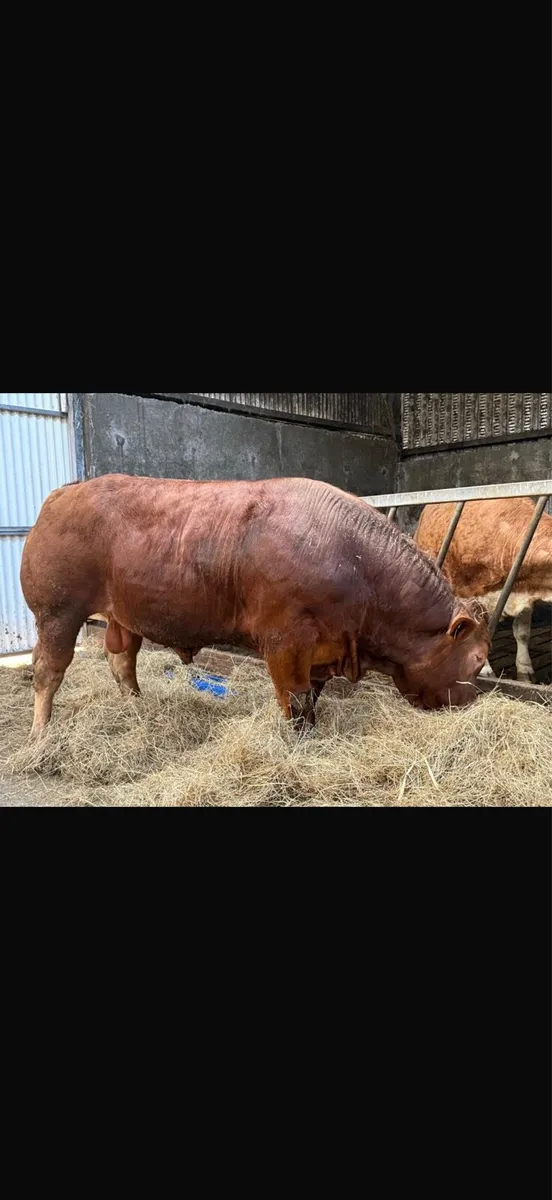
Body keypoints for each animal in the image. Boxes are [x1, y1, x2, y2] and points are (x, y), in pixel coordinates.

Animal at [20, 475, 491, 737]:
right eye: (477, 661)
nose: (471, 708)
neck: (357, 563)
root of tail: (65, 493)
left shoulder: (319, 652)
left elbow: (311, 700)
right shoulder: (286, 644)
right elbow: (295, 703)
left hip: (122, 616)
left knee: (121, 661)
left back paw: (137, 708)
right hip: (57, 613)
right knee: (48, 671)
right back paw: (41, 734)